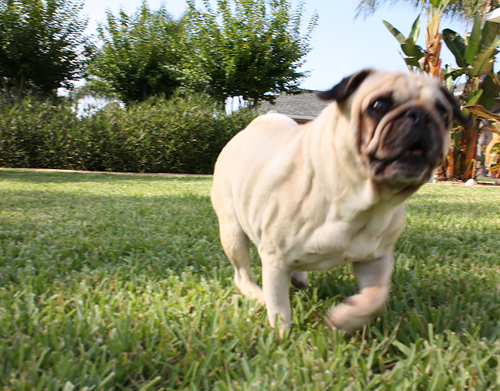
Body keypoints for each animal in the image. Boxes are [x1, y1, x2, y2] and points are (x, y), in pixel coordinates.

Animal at [211, 69, 464, 332]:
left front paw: (345, 318)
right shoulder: (275, 261)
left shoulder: (376, 259)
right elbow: (280, 310)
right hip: (232, 231)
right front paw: (281, 336)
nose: (420, 115)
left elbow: (375, 295)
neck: (357, 200)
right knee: (242, 274)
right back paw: (257, 295)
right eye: (378, 105)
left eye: (444, 114)